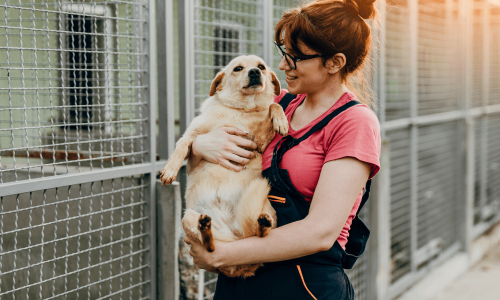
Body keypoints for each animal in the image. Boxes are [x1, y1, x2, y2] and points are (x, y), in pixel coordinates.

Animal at [160, 55, 290, 278]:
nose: (255, 72)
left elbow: (273, 107)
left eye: (261, 66)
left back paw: (261, 225)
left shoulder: (259, 142)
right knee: (211, 248)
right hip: (188, 217)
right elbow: (182, 145)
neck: (240, 110)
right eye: (238, 68)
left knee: (259, 235)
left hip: (266, 210)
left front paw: (281, 120)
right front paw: (170, 170)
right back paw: (206, 230)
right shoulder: (194, 134)